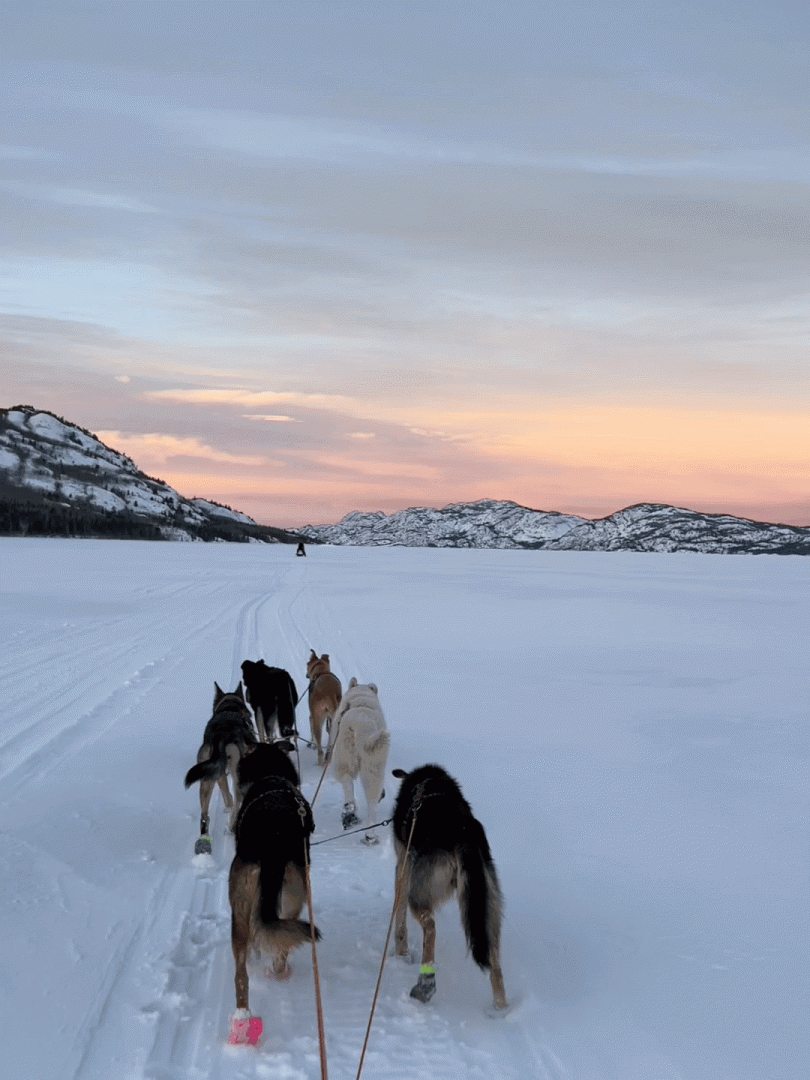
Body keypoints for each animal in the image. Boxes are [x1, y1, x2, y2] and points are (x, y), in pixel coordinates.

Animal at [183, 682, 257, 851]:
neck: (230, 707)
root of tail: (221, 735)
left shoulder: (219, 772)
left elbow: (226, 795)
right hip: (237, 776)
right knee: (237, 804)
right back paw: (232, 828)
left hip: (205, 778)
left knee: (205, 816)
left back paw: (204, 840)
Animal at [228, 738, 319, 1041]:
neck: (270, 774)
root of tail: (273, 838)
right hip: (294, 892)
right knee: (278, 942)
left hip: (244, 906)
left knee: (245, 969)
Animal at [330, 673, 390, 842]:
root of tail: (360, 726)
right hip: (372, 761)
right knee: (371, 799)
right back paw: (368, 832)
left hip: (344, 757)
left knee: (347, 781)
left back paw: (351, 813)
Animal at [390, 764, 507, 1006]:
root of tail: (463, 835)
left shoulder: (402, 871)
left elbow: (400, 922)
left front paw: (401, 955)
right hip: (487, 908)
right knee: (495, 964)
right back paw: (501, 1008)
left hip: (419, 893)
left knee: (431, 929)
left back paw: (425, 984)